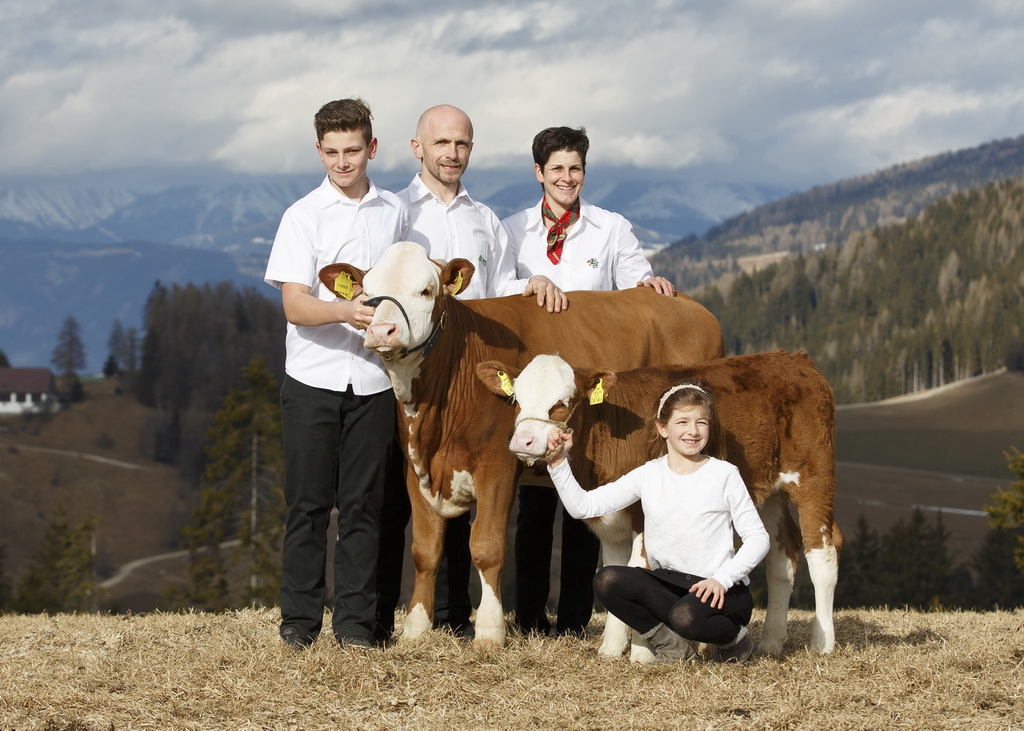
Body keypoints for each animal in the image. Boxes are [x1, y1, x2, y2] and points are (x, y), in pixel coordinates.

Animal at [319, 241, 729, 647]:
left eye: (425, 290)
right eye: (367, 294)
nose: (382, 330)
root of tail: (692, 306)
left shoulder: (497, 463)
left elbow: (487, 546)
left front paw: (489, 631)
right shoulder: (415, 466)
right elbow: (424, 548)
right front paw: (416, 630)